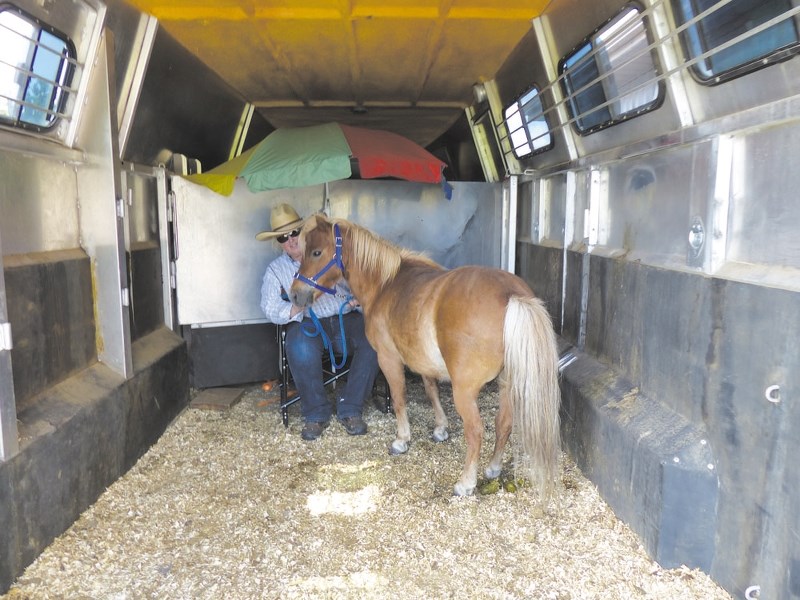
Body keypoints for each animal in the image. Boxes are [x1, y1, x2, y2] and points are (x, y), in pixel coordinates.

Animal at [290, 216, 560, 496]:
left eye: (316, 252)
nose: (294, 294)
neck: (384, 285)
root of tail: (511, 294)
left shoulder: (388, 358)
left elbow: (399, 399)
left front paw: (401, 440)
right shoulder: (422, 360)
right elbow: (431, 391)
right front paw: (440, 428)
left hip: (465, 390)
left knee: (475, 430)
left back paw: (466, 483)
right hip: (507, 382)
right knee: (503, 422)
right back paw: (493, 468)